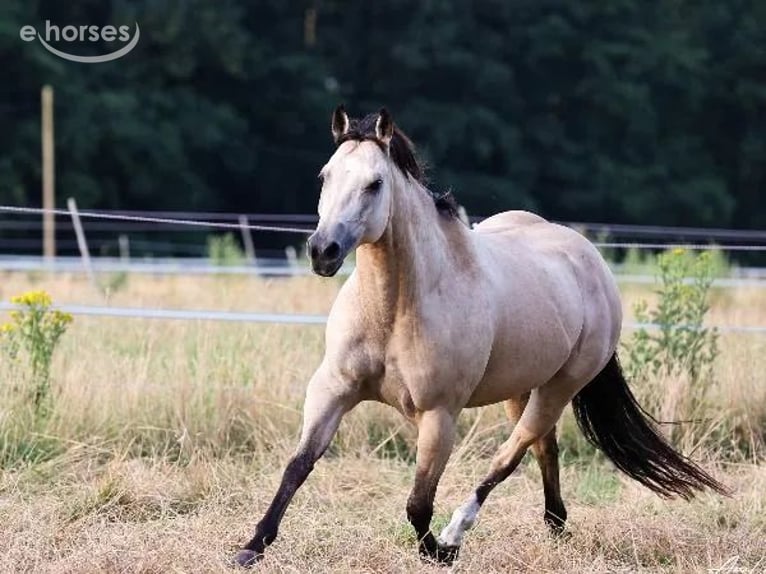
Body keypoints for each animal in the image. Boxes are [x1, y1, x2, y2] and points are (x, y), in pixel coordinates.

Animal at [233, 106, 726, 567]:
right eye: (325, 176)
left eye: (375, 184)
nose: (323, 251)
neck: (395, 310)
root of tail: (591, 260)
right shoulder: (333, 390)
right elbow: (297, 467)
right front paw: (251, 547)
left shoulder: (439, 415)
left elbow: (418, 503)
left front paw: (436, 552)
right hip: (521, 388)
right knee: (545, 448)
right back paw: (556, 525)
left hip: (560, 387)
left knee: (512, 453)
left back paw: (458, 533)